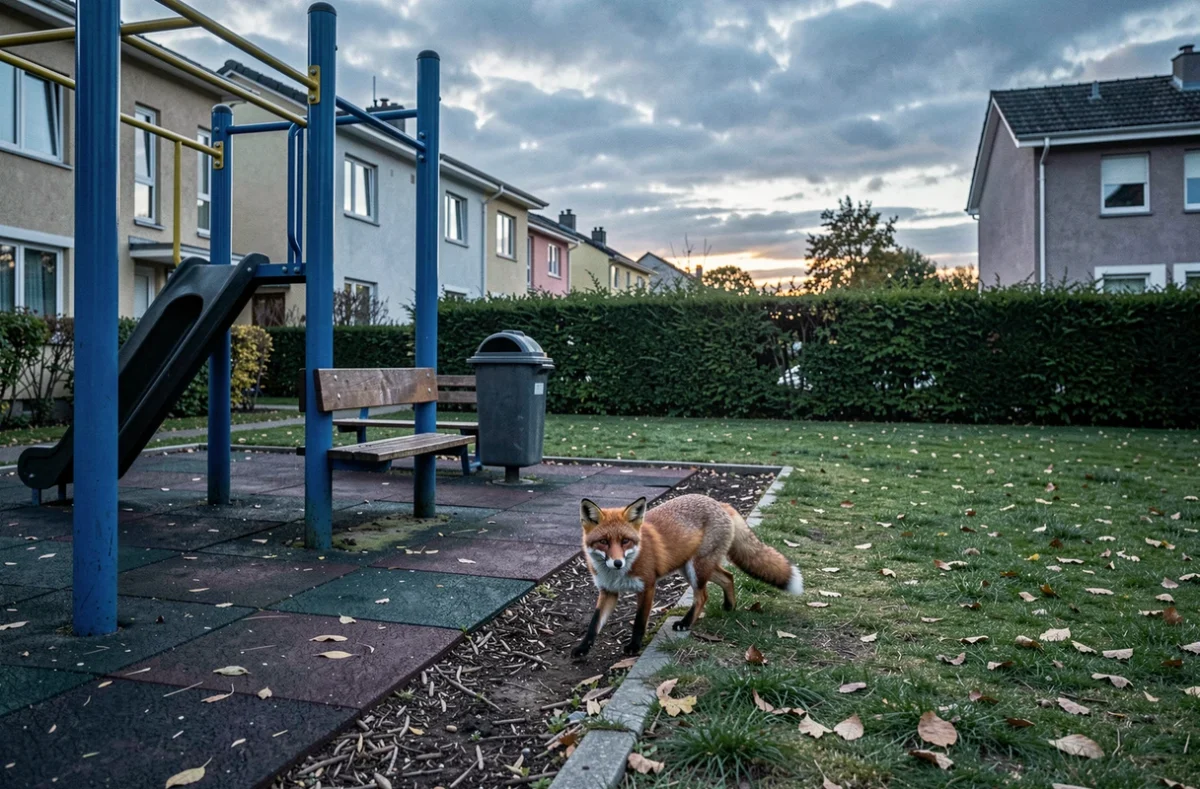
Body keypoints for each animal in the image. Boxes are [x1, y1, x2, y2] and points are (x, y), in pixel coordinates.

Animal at [572, 493, 804, 658]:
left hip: (696, 570)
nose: (617, 563)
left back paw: (686, 622)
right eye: (603, 542)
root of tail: (720, 503)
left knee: (703, 597)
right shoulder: (608, 591)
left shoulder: (648, 587)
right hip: (694, 568)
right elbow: (594, 623)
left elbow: (639, 622)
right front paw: (583, 648)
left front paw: (634, 646)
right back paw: (729, 606)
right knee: (728, 577)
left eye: (625, 541)